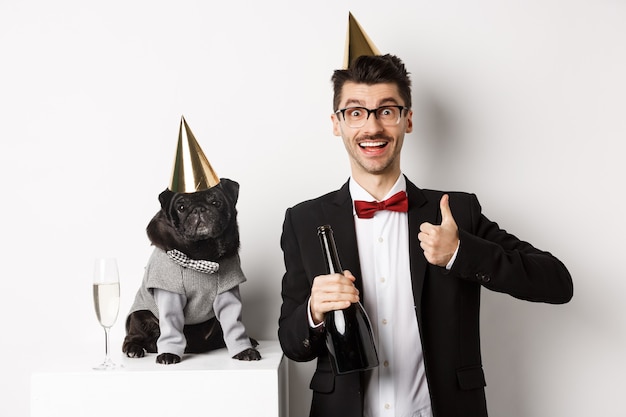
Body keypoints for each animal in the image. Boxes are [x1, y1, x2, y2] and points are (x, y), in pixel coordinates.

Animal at [122, 179, 260, 364]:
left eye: (216, 202)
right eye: (181, 207)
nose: (199, 209)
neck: (202, 254)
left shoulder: (227, 293)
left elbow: (234, 324)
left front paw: (244, 350)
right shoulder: (170, 294)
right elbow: (171, 327)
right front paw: (168, 354)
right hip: (140, 316)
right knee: (131, 337)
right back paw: (134, 349)